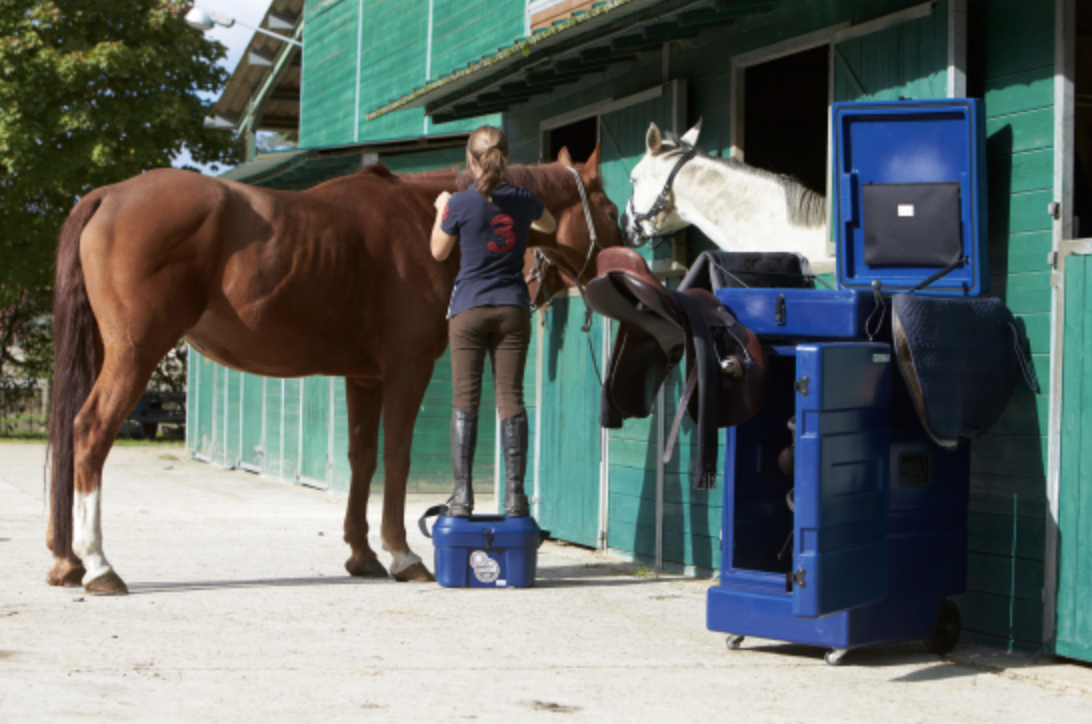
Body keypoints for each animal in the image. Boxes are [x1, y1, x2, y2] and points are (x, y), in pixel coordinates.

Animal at [46, 147, 620, 594]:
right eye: (611, 209)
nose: (614, 270)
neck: (425, 221)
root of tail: (110, 195)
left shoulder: (364, 377)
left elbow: (362, 458)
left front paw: (362, 555)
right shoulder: (408, 367)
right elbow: (396, 456)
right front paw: (403, 555)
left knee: (72, 436)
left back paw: (67, 560)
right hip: (136, 353)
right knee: (90, 432)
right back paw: (99, 565)